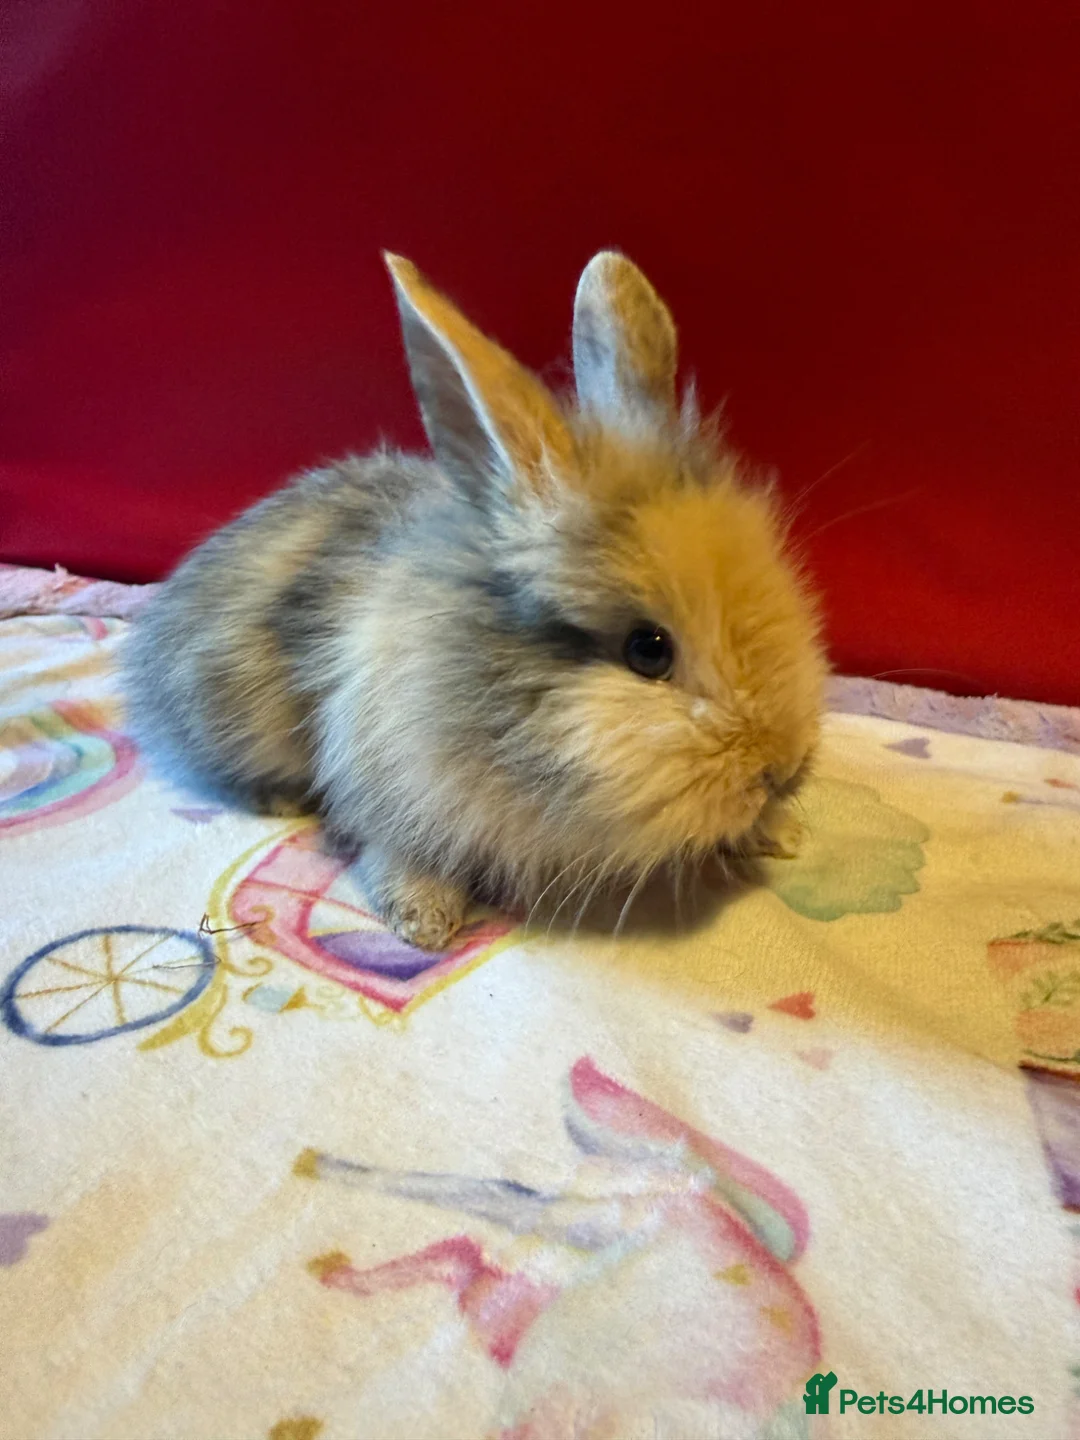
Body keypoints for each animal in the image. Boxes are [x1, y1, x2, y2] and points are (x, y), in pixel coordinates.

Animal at [124, 251, 826, 950]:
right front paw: (426, 922)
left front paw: (781, 834)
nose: (784, 771)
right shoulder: (392, 782)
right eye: (648, 650)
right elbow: (397, 851)